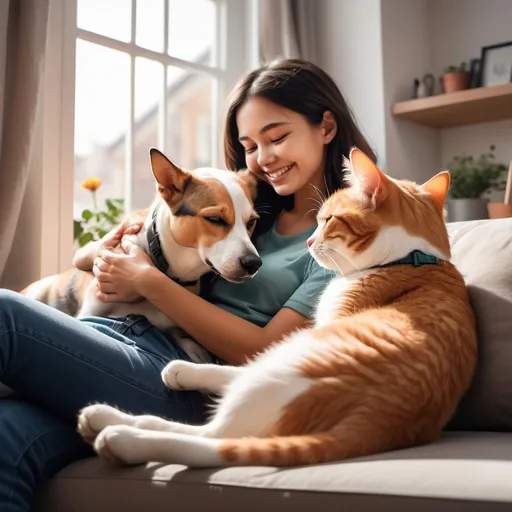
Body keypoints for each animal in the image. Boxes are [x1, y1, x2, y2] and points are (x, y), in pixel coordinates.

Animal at [78, 147, 478, 468]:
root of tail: (374, 422)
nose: (310, 241)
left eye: (328, 219)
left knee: (214, 437)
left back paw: (118, 430)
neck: (410, 256)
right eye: (215, 220)